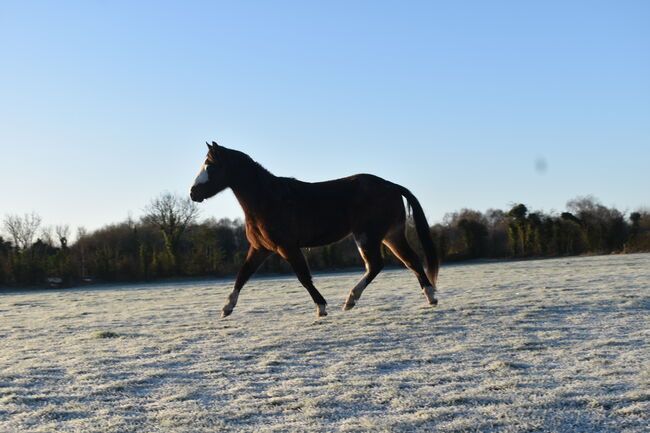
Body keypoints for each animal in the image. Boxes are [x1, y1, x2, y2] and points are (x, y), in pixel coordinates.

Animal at [189, 142, 440, 317]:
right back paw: (430, 296)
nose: (193, 193)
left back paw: (351, 300)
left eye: (210, 165)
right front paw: (227, 308)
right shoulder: (260, 248)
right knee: (411, 260)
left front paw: (321, 307)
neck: (268, 199)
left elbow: (303, 277)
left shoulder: (287, 247)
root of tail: (392, 185)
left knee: (377, 265)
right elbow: (242, 275)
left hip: (368, 237)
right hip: (390, 236)